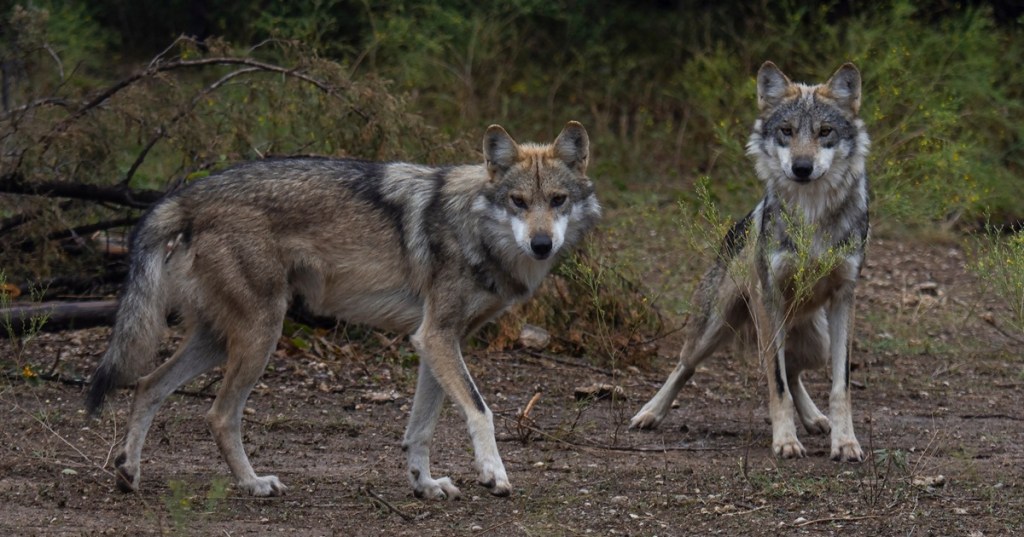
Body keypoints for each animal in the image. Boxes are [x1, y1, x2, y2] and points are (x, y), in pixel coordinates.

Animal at [86, 121, 601, 499]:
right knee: (218, 414)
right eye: (519, 202)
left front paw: (425, 485)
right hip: (261, 335)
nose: (541, 244)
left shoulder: (438, 341)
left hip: (219, 339)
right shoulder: (436, 336)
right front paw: (494, 475)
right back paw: (253, 484)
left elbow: (421, 429)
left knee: (147, 385)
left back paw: (128, 473)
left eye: (558, 201)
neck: (473, 227)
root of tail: (186, 194)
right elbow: (480, 410)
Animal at [630, 62, 870, 462]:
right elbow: (777, 382)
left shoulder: (844, 297)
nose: (802, 168)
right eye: (787, 131)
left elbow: (840, 386)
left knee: (794, 369)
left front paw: (846, 442)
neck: (811, 213)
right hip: (718, 327)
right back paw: (650, 412)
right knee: (686, 365)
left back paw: (816, 419)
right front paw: (785, 441)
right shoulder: (768, 297)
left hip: (816, 341)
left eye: (825, 132)